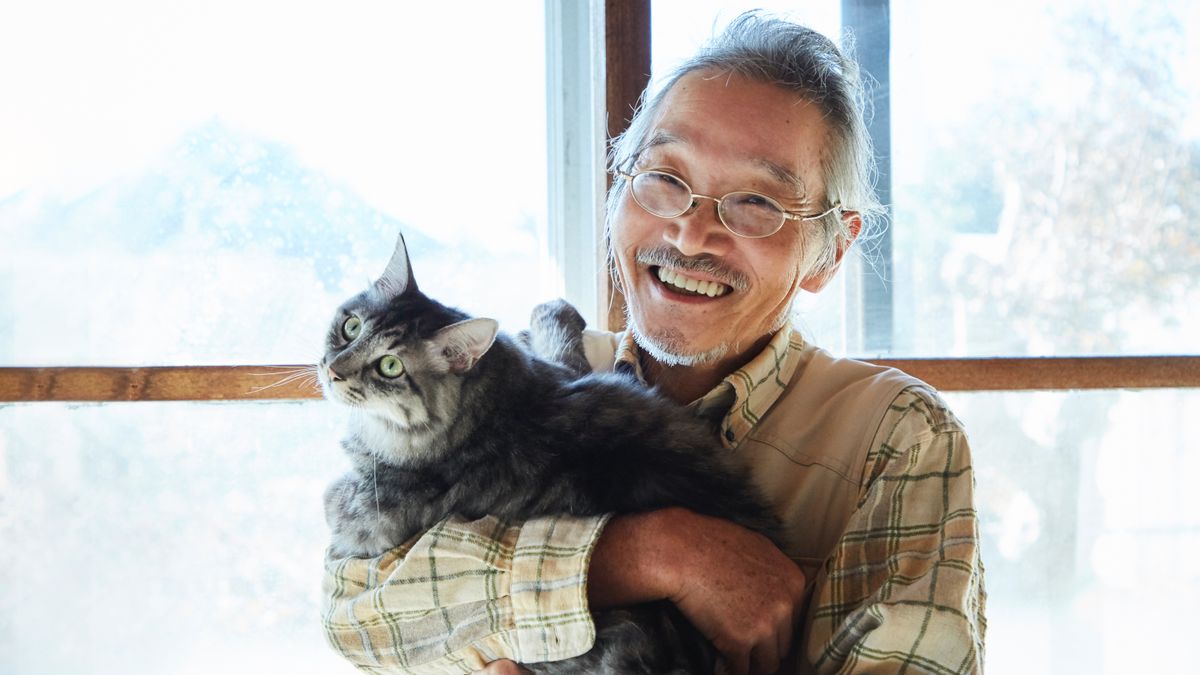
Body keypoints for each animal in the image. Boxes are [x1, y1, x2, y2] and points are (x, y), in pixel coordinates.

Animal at [324, 233, 782, 672]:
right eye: (351, 327)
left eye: (390, 367)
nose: (332, 371)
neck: (498, 407)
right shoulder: (572, 373)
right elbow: (561, 339)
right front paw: (556, 309)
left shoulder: (360, 518)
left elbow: (334, 498)